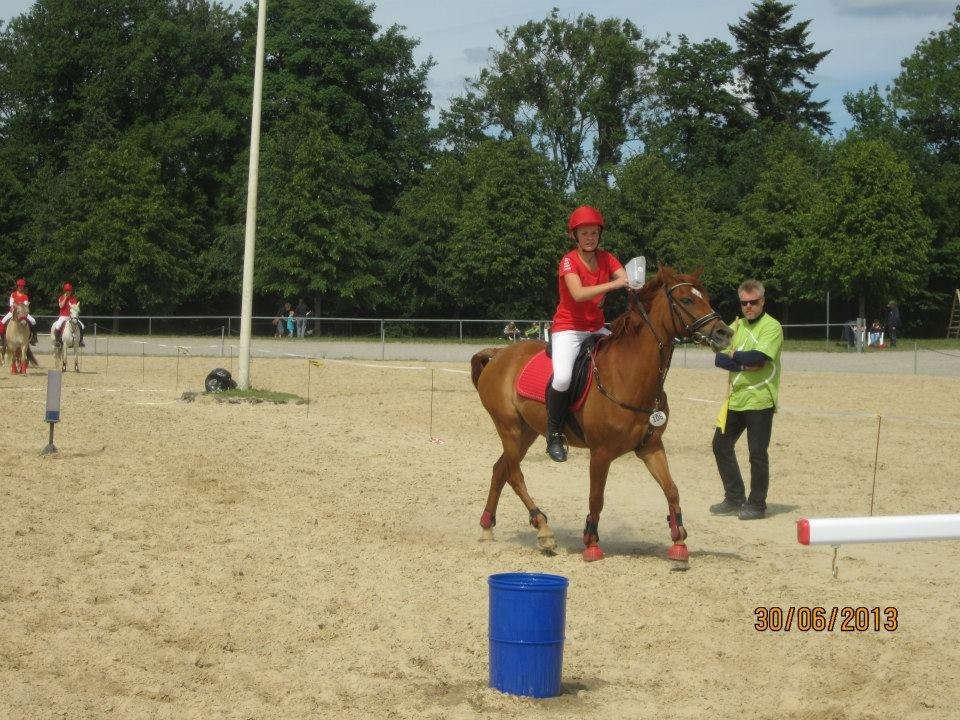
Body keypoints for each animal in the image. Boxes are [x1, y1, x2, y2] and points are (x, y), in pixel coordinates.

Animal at [470, 266, 734, 566]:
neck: (629, 376)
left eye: (707, 298)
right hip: (509, 428)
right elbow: (596, 498)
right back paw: (543, 529)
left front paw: (679, 540)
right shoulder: (600, 453)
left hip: (527, 432)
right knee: (515, 475)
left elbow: (672, 489)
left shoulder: (651, 447)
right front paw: (591, 543)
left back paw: (487, 527)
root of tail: (498, 354)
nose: (724, 333)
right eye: (686, 299)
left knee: (499, 470)